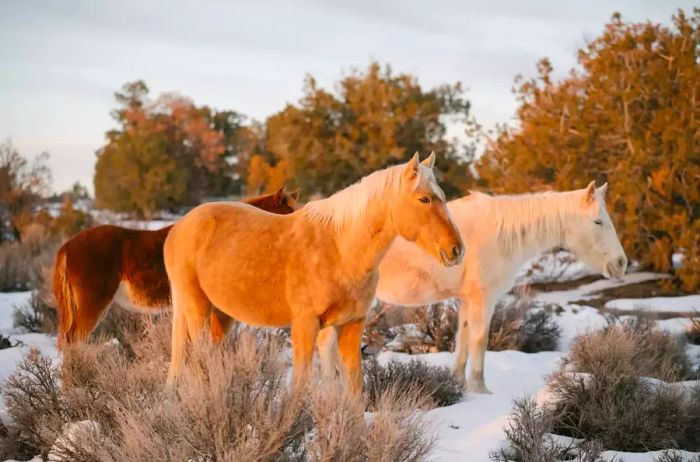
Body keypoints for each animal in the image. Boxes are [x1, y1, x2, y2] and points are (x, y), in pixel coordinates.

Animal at [161, 153, 462, 392]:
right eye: (424, 199)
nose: (457, 249)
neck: (339, 248)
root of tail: (179, 227)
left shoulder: (351, 326)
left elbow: (354, 389)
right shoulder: (305, 325)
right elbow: (300, 386)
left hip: (222, 315)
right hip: (197, 308)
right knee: (200, 360)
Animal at [318, 180, 628, 394]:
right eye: (598, 221)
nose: (621, 263)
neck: (502, 233)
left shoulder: (467, 299)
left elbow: (463, 339)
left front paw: (458, 383)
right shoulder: (483, 298)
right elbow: (480, 340)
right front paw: (481, 389)